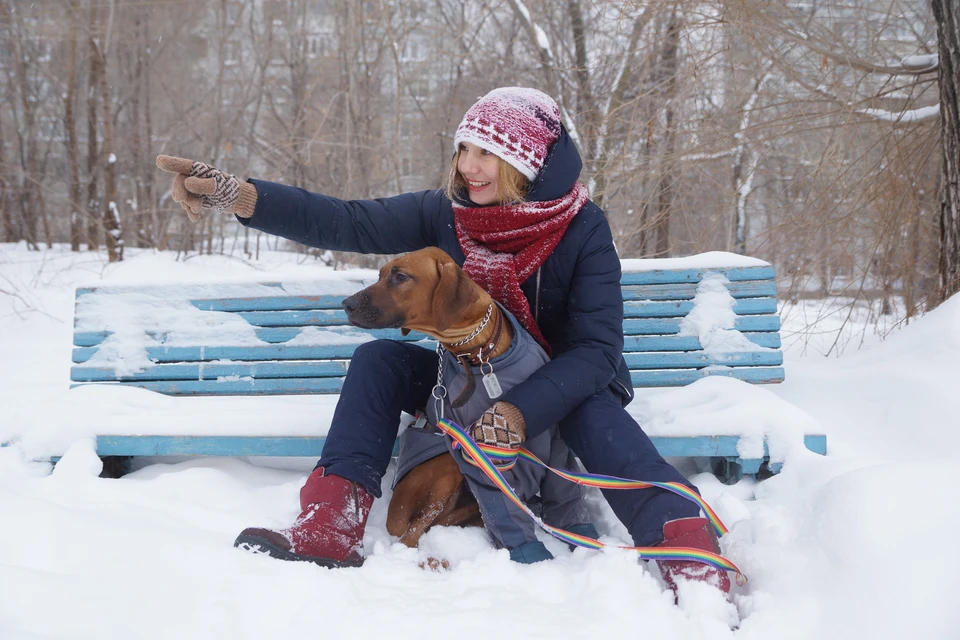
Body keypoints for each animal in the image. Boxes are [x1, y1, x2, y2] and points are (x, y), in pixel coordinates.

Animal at [342, 246, 512, 552]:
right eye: (380, 274)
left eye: (400, 276)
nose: (346, 304)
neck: (475, 352)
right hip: (445, 470)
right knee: (417, 526)